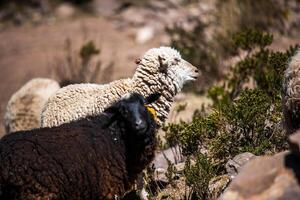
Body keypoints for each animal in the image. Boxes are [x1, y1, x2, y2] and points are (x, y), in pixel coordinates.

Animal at [0, 92, 161, 200]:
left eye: (144, 104)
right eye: (123, 112)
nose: (139, 125)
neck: (115, 136)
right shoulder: (107, 189)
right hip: (35, 194)